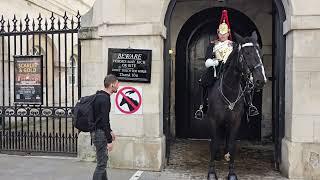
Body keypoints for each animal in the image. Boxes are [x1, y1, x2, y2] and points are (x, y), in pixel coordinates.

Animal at [206, 31, 266, 179]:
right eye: (247, 53)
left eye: (259, 52)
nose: (260, 80)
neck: (229, 90)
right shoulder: (213, 120)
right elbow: (214, 143)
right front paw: (212, 172)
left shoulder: (235, 122)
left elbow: (233, 144)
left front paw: (232, 172)